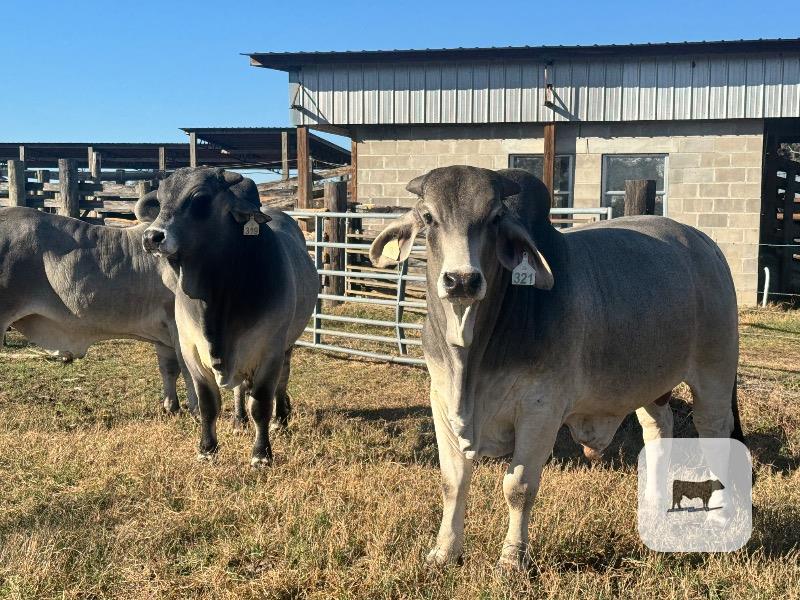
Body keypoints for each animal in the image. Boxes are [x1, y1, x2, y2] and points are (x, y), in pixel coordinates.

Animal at [0, 206, 197, 414]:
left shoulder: (164, 332)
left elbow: (169, 368)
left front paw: (171, 407)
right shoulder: (178, 325)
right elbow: (188, 369)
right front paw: (197, 410)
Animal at [139, 167, 318, 467]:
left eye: (200, 198)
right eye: (161, 200)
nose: (152, 237)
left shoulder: (269, 351)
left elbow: (261, 404)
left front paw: (261, 455)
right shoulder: (192, 351)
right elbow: (208, 405)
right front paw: (207, 449)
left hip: (287, 346)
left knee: (281, 381)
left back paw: (280, 419)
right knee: (239, 388)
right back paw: (238, 420)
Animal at [369, 165, 743, 570]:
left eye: (495, 218)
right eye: (428, 217)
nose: (462, 280)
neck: (472, 358)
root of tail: (705, 244)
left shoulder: (541, 410)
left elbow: (518, 488)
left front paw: (512, 559)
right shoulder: (441, 402)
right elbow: (453, 482)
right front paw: (444, 552)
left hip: (715, 372)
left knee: (715, 430)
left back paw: (718, 515)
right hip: (650, 385)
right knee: (659, 429)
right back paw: (654, 502)